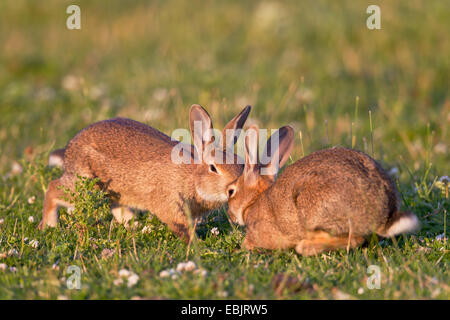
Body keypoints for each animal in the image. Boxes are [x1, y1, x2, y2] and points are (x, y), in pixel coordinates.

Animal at [39, 104, 251, 241]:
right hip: (84, 185)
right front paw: (196, 243)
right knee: (53, 189)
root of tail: (69, 150)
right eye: (213, 168)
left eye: (241, 164)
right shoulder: (170, 203)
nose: (237, 189)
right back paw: (48, 225)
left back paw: (135, 226)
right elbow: (181, 226)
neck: (192, 176)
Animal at [227, 125, 420, 255]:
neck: (253, 201)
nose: (230, 216)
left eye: (231, 191)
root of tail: (383, 218)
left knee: (354, 240)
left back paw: (305, 247)